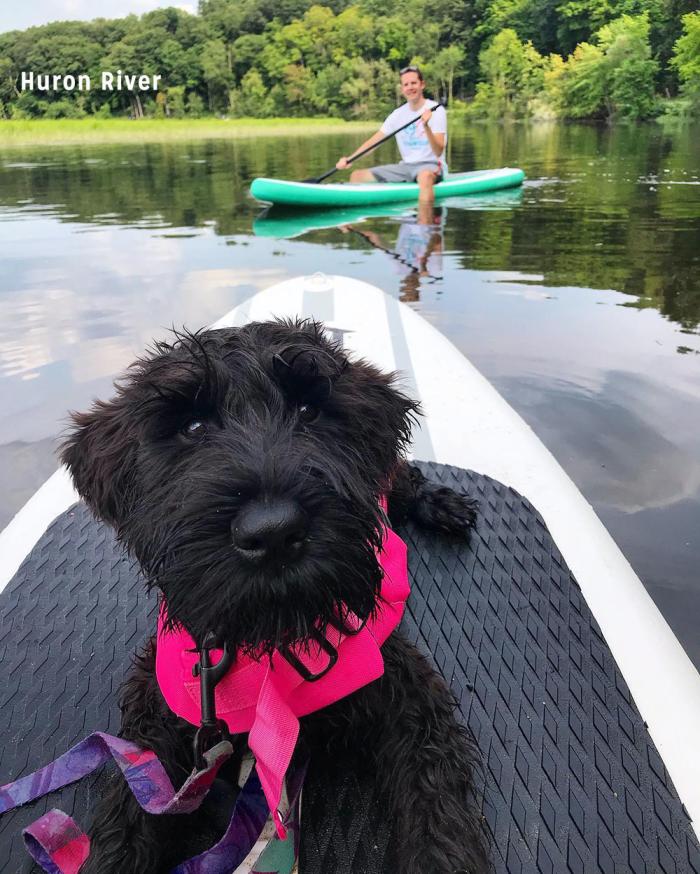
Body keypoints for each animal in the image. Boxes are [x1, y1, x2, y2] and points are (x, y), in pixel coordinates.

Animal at [60, 320, 490, 872]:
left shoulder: (410, 697)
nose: (273, 532)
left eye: (309, 410)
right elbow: (130, 813)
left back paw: (442, 503)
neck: (270, 641)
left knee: (402, 475)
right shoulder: (156, 714)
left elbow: (437, 810)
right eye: (192, 428)